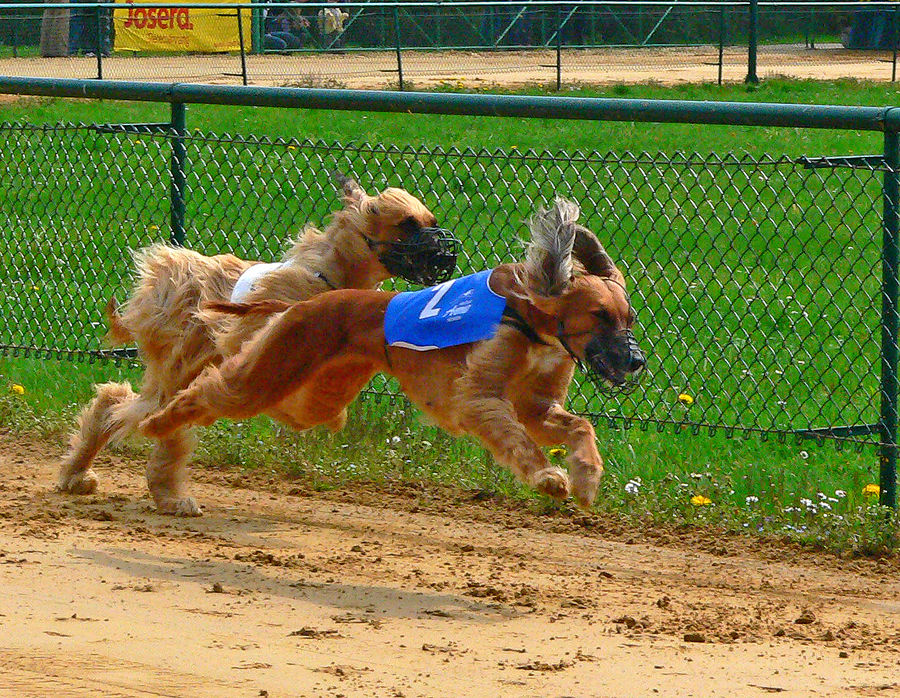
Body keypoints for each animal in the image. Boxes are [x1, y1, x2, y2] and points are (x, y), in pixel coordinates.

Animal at [59, 171, 460, 512]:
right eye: (408, 224)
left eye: (430, 221)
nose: (446, 256)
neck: (330, 274)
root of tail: (170, 267)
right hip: (182, 358)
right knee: (137, 408)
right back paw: (136, 486)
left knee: (126, 404)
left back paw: (115, 481)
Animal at [139, 198, 648, 508]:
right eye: (599, 315)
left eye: (628, 318)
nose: (636, 361)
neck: (529, 321)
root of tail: (301, 303)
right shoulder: (480, 398)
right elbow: (510, 433)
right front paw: (548, 477)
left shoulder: (536, 404)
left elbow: (577, 426)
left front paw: (587, 479)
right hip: (275, 367)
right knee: (208, 390)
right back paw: (154, 423)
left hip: (316, 391)